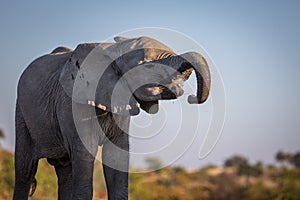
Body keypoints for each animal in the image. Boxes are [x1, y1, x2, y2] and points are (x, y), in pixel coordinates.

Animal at [14, 35, 210, 199]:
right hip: (21, 112)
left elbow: (116, 156)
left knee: (64, 170)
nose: (193, 98)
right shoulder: (72, 103)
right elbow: (85, 154)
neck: (113, 51)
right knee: (25, 170)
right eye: (148, 66)